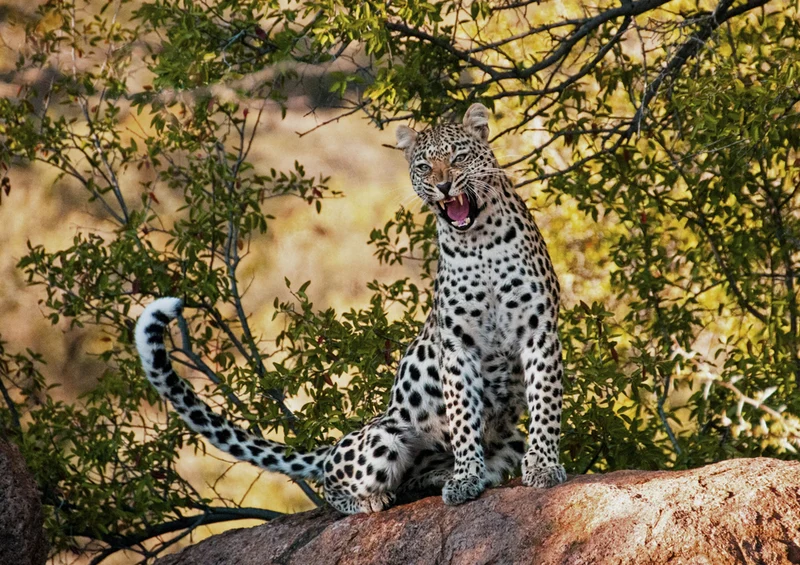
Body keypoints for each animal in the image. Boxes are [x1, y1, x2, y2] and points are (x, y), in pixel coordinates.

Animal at [135, 103, 567, 515]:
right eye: (424, 166)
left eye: (459, 157)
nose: (442, 185)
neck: (480, 241)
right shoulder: (458, 344)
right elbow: (463, 417)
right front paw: (465, 477)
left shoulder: (538, 329)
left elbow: (545, 403)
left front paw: (544, 465)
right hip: (382, 438)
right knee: (333, 485)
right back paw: (376, 499)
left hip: (508, 438)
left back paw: (437, 479)